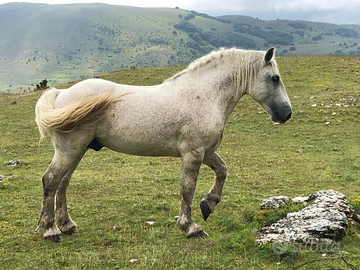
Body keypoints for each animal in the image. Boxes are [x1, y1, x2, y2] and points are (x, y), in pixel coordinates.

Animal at [35, 47, 292, 242]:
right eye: (275, 78)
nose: (286, 113)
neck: (204, 95)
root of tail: (61, 94)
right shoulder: (193, 153)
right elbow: (187, 188)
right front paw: (190, 226)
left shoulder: (207, 152)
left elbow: (222, 171)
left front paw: (208, 205)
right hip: (70, 150)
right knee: (51, 180)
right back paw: (51, 230)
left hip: (77, 151)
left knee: (62, 184)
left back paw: (67, 225)